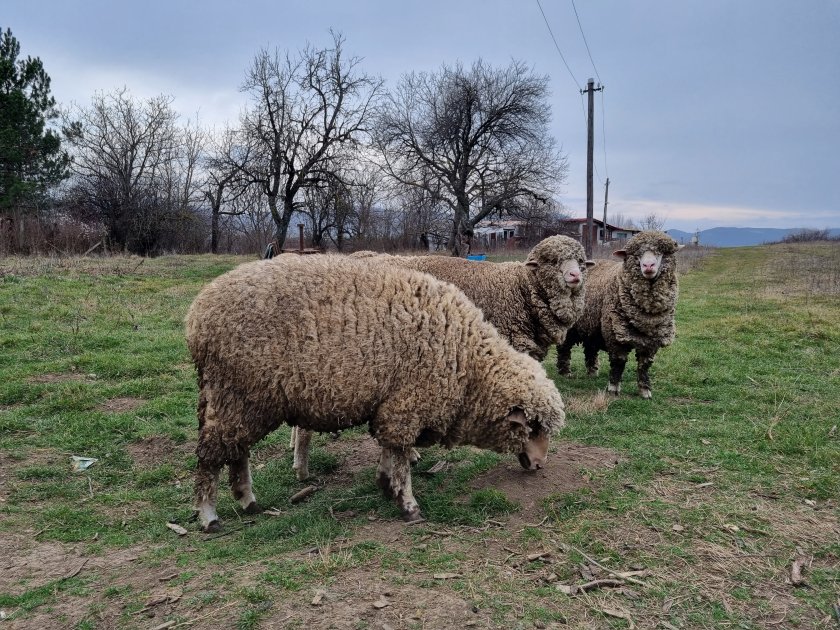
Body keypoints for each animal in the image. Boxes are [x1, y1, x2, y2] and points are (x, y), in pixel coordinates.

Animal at [184, 254, 564, 532]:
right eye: (532, 427)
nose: (540, 465)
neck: (468, 365)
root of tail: (197, 312)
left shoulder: (393, 402)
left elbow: (389, 449)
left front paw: (385, 484)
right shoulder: (408, 402)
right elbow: (400, 457)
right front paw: (408, 505)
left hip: (242, 398)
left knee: (237, 449)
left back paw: (247, 500)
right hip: (236, 391)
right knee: (211, 454)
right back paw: (209, 515)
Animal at [556, 232, 680, 400]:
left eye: (661, 253)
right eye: (637, 255)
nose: (648, 266)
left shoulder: (652, 339)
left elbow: (644, 364)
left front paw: (645, 390)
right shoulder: (614, 332)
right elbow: (619, 361)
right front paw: (613, 388)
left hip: (592, 323)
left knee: (590, 347)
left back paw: (592, 372)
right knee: (564, 348)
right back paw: (565, 372)